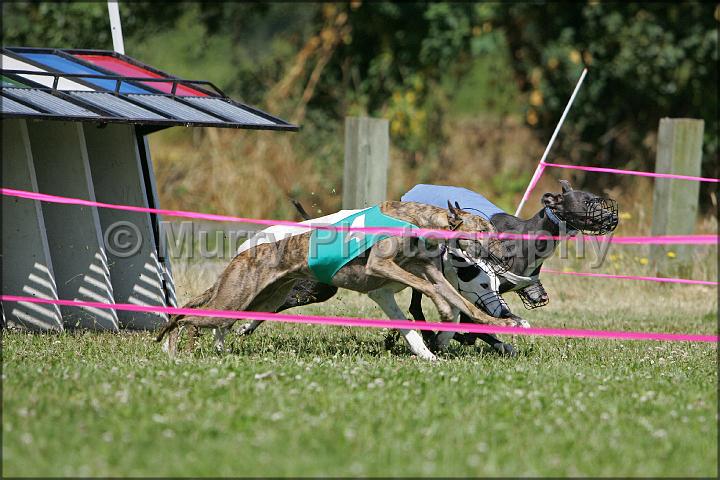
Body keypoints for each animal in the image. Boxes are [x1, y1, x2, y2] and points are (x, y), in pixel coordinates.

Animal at [156, 201, 525, 361]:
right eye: (483, 229)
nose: (506, 251)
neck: (418, 219)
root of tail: (244, 253)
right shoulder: (381, 265)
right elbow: (430, 289)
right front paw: (443, 317)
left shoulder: (427, 267)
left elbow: (457, 299)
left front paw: (501, 323)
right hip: (238, 295)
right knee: (189, 319)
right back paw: (174, 349)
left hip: (261, 299)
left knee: (218, 320)